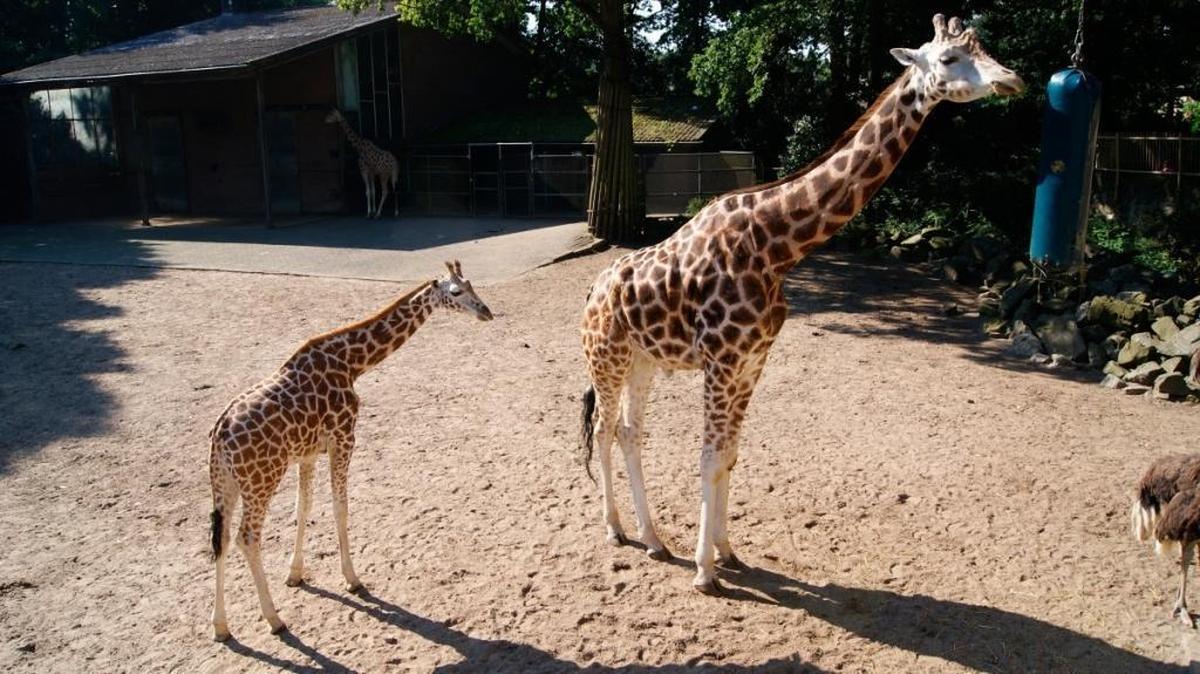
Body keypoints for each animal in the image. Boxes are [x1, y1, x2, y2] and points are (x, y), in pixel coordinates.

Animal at [208, 261, 493, 641]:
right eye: (456, 292)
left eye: (472, 285)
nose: (486, 311)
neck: (352, 363)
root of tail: (219, 436)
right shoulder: (344, 438)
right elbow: (340, 506)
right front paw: (352, 579)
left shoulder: (307, 453)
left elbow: (304, 506)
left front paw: (295, 574)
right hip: (261, 480)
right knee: (248, 538)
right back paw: (274, 619)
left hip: (224, 483)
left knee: (221, 539)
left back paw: (221, 627)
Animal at [578, 14, 1024, 594]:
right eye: (949, 59)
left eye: (984, 47)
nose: (1013, 80)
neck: (776, 248)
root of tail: (592, 291)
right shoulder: (722, 361)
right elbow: (708, 458)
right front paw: (705, 571)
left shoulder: (752, 361)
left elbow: (730, 456)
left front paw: (727, 552)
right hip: (606, 360)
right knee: (605, 432)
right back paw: (615, 530)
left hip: (643, 362)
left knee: (630, 433)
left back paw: (654, 539)